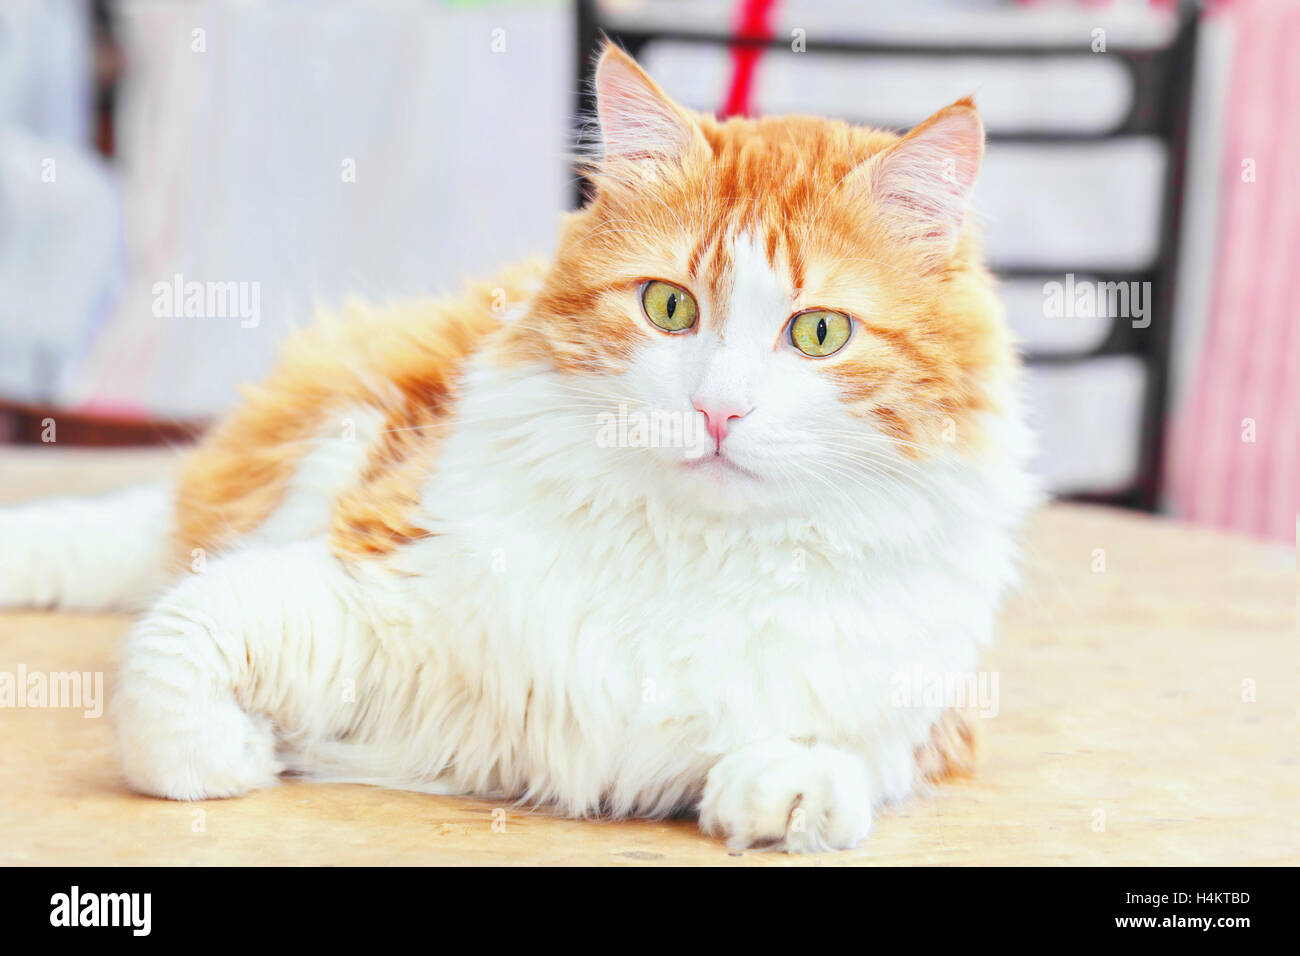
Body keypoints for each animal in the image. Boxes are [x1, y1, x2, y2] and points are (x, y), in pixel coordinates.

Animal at [0, 46, 1034, 853]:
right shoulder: (362, 580)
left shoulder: (921, 715)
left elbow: (839, 757)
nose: (718, 411)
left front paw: (789, 793)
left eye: (820, 332)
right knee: (149, 539)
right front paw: (244, 754)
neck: (699, 552)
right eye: (670, 307)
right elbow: (168, 678)